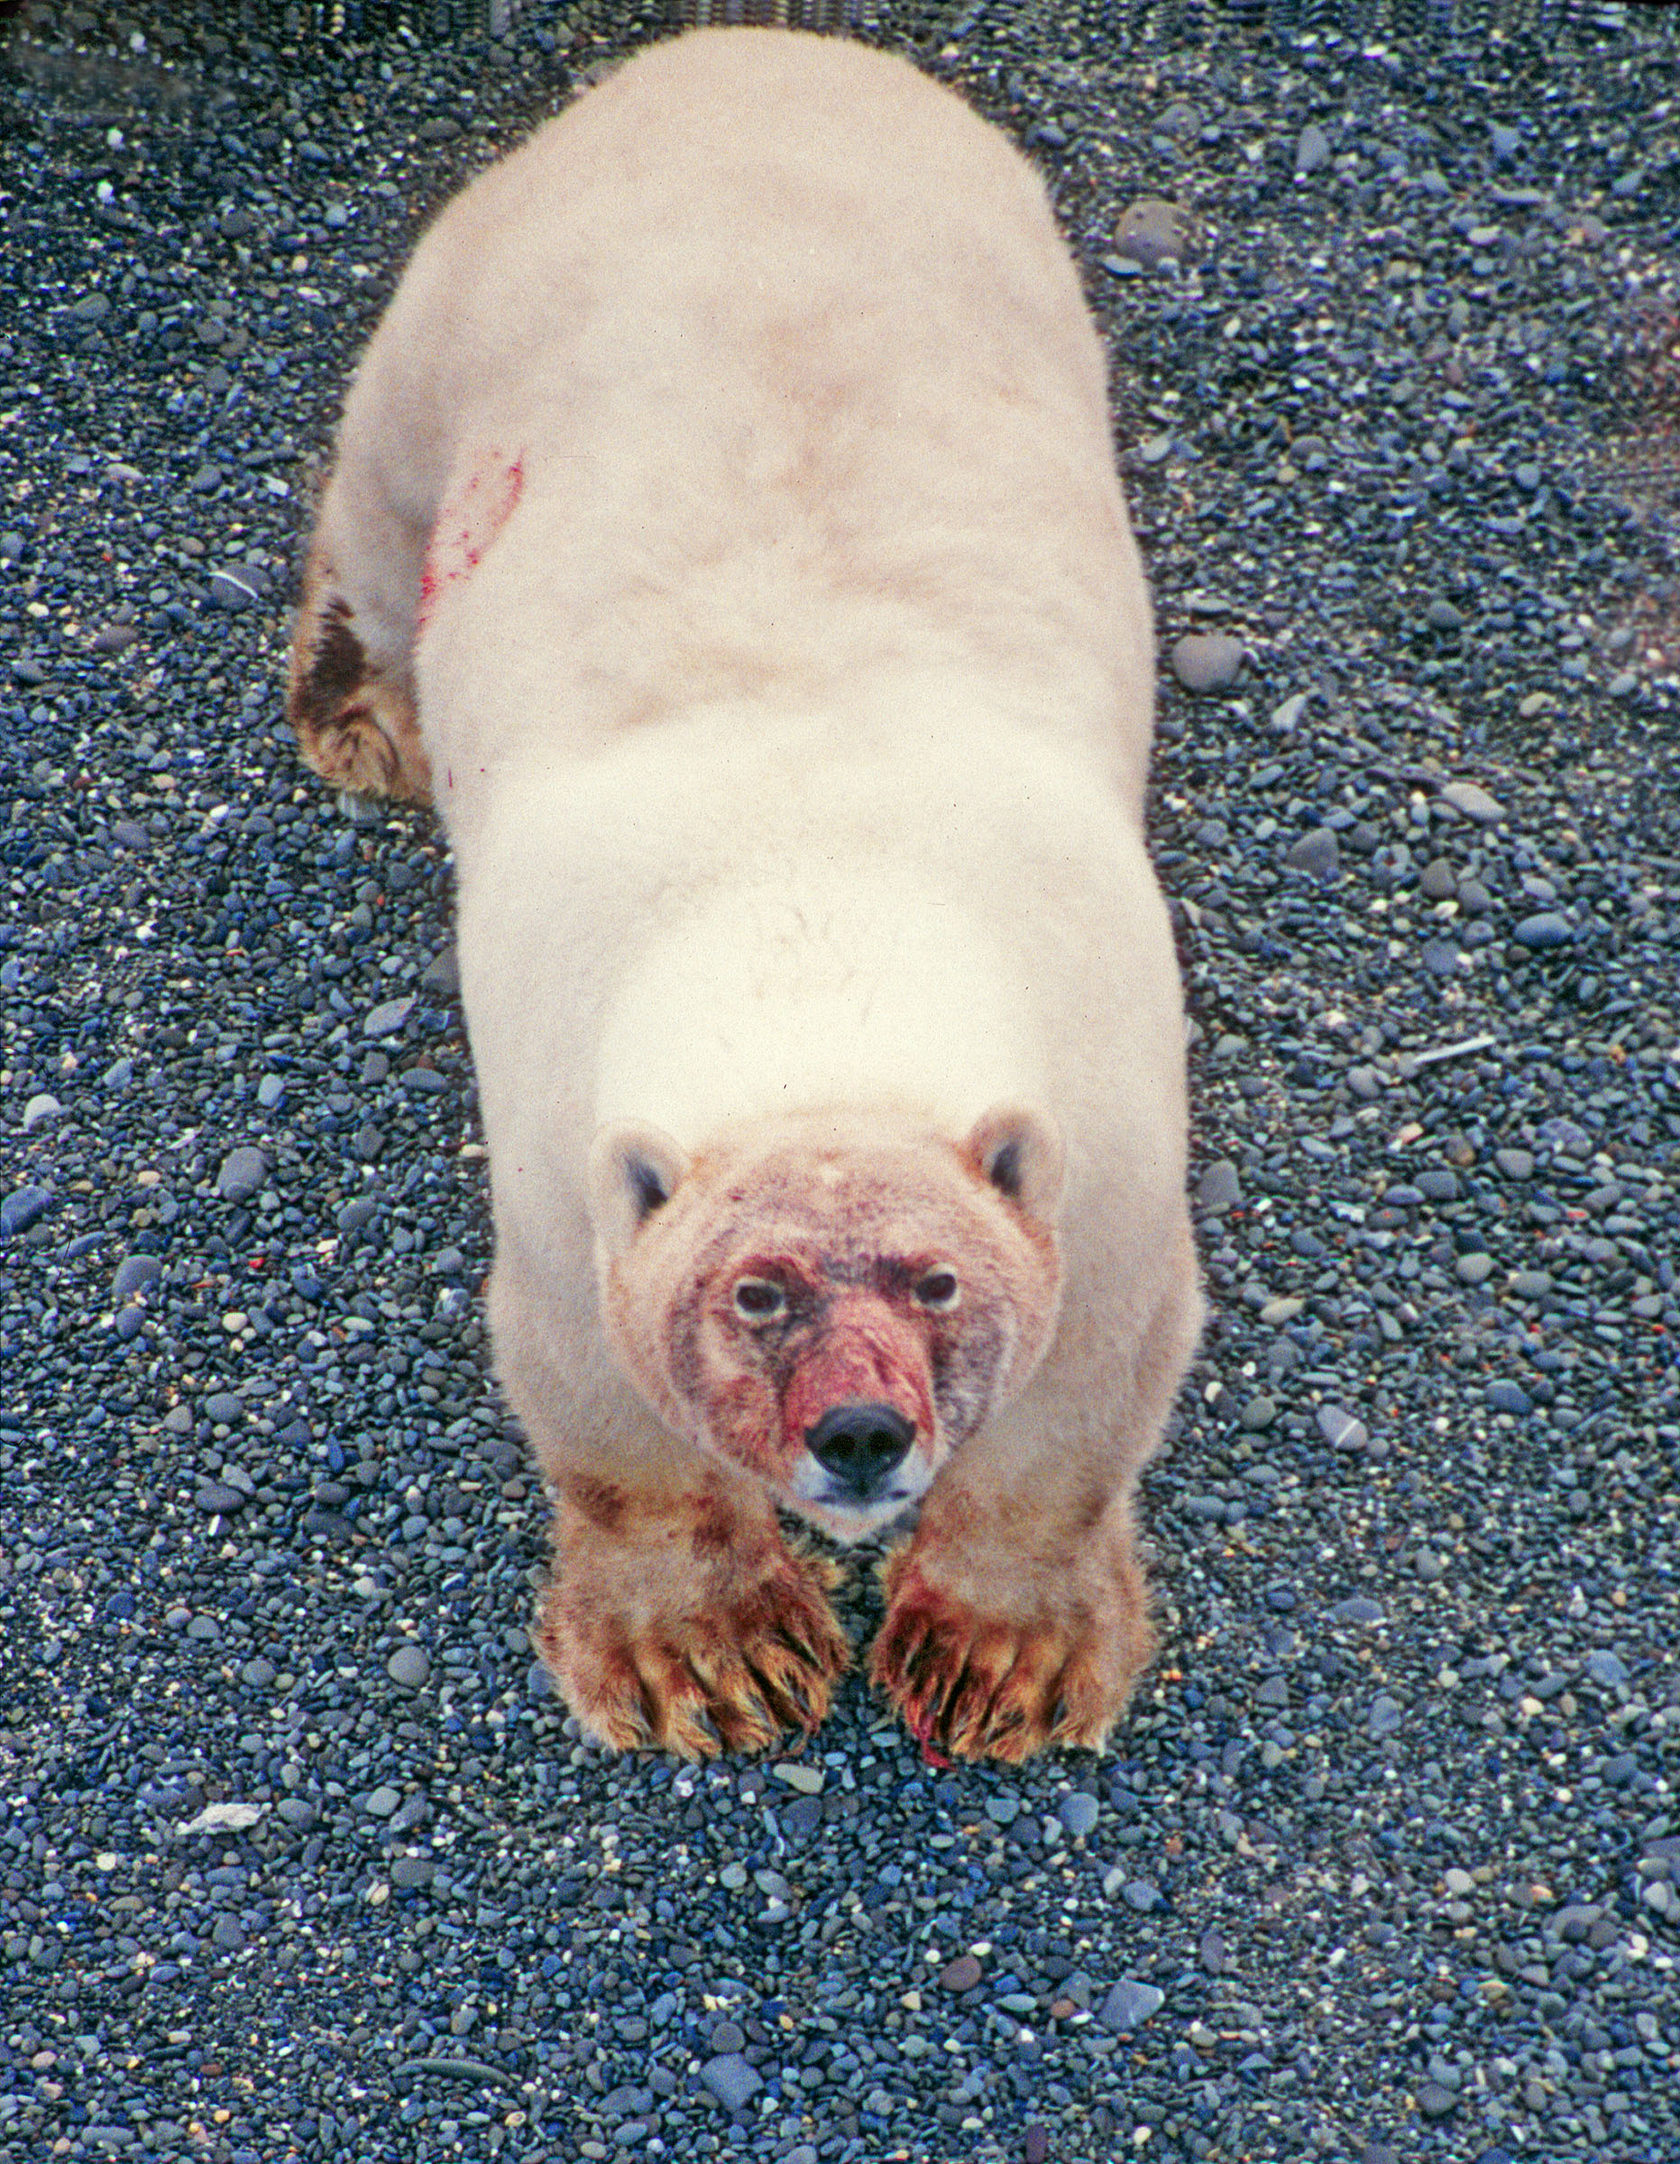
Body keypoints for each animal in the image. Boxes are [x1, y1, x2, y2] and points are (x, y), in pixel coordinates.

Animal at [292, 29, 1203, 1757]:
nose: (856, 1432)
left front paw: (998, 1662)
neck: (816, 918)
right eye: (758, 1293)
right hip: (466, 304)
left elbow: (1084, 1387)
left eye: (934, 1280)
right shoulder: (564, 1161)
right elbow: (593, 1393)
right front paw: (708, 1662)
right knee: (383, 490)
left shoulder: (1110, 1142)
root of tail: (740, 49)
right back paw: (360, 706)